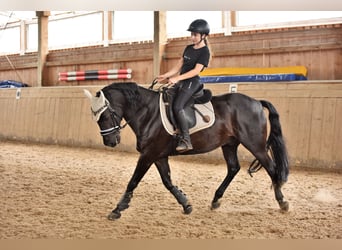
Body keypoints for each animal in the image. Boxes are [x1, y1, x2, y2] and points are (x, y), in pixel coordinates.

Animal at [83, 81, 288, 219]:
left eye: (105, 115)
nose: (110, 142)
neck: (148, 112)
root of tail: (256, 102)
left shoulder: (148, 154)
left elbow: (133, 181)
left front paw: (118, 209)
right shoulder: (158, 156)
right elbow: (168, 182)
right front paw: (186, 204)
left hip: (255, 145)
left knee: (271, 168)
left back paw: (282, 202)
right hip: (229, 144)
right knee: (233, 168)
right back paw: (216, 200)